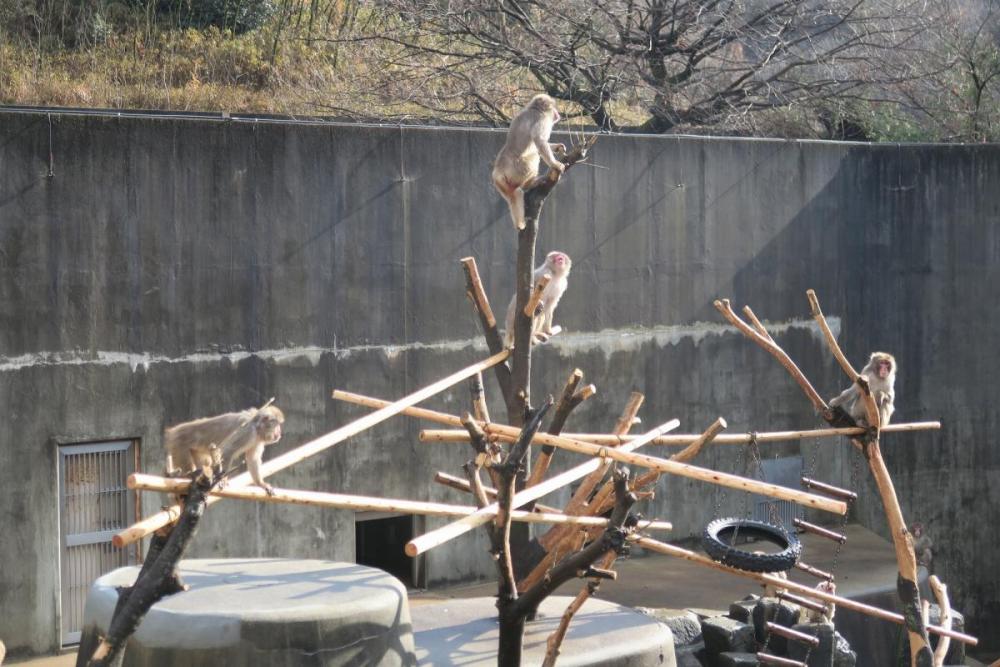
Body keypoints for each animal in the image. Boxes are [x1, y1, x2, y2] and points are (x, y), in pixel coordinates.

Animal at [490, 92, 564, 231]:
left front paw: (558, 147)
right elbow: (539, 140)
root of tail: (498, 171)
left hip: (503, 184)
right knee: (534, 156)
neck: (534, 109)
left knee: (514, 194)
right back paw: (530, 183)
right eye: (553, 108)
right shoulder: (541, 119)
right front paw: (555, 164)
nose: (557, 113)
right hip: (518, 169)